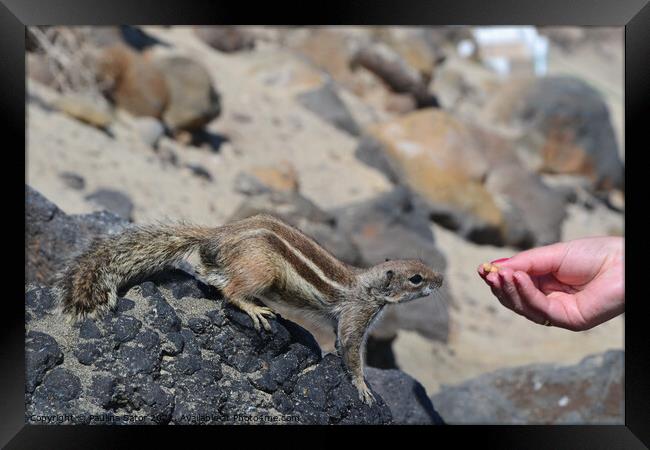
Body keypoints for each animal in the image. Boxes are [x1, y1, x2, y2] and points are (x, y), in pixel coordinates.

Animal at [58, 214, 442, 404]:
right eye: (416, 278)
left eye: (422, 266)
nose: (440, 280)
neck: (367, 284)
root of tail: (216, 235)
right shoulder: (356, 314)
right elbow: (349, 349)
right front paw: (363, 388)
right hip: (261, 270)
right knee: (229, 290)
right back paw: (254, 308)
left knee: (212, 276)